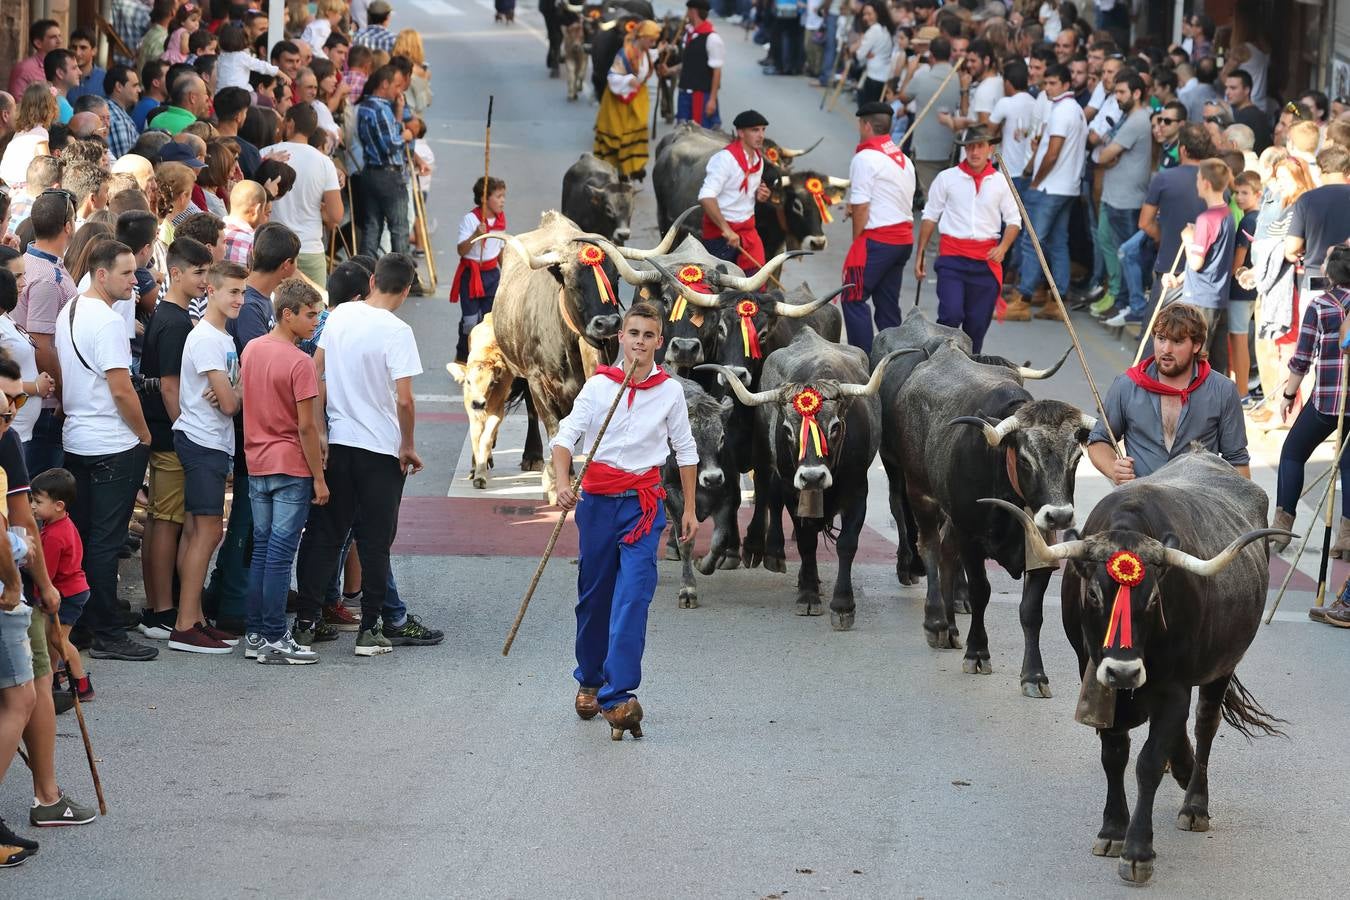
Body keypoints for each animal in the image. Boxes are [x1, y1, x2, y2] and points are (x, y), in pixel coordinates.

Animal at [696, 327, 907, 631]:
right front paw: (807, 595)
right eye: (787, 429)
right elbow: (806, 541)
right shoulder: (793, 490)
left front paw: (842, 605)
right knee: (766, 493)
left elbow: (847, 544)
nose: (812, 476)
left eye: (835, 427)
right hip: (764, 457)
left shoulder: (858, 491)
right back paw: (767, 552)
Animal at [891, 342, 1090, 696]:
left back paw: (951, 628)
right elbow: (980, 592)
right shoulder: (971, 541)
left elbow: (1031, 611)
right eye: (1025, 458)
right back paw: (936, 622)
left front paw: (1034, 675)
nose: (1059, 515)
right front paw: (977, 653)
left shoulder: (1042, 552)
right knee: (930, 549)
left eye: (1077, 457)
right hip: (920, 493)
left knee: (946, 556)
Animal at [993, 450, 1285, 885]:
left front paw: (1137, 851)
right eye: (1094, 595)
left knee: (1205, 725)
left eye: (1153, 599)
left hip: (1221, 667)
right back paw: (1180, 767)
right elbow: (1114, 754)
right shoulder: (1095, 675)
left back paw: (1194, 802)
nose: (1125, 672)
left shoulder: (1174, 688)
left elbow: (1147, 762)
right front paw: (1113, 830)